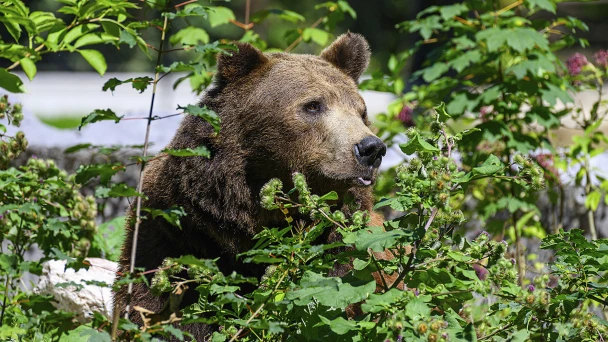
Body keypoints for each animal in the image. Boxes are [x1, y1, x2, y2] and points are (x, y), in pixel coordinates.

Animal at [113, 32, 390, 340]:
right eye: (313, 105)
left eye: (361, 111)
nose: (371, 148)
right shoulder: (175, 231)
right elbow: (154, 304)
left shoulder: (344, 247)